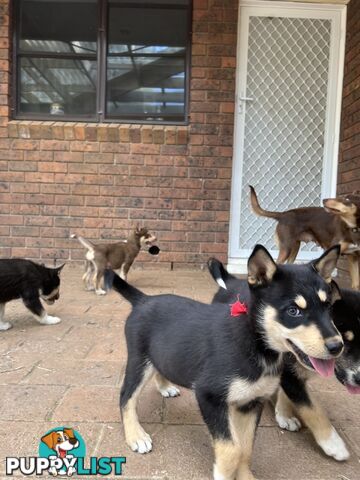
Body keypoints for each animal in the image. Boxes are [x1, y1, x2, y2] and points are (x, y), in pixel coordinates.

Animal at [107, 246, 344, 478]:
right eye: (294, 311)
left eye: (328, 307)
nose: (337, 346)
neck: (255, 343)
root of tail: (143, 300)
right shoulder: (209, 395)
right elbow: (232, 450)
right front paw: (224, 473)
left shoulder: (251, 402)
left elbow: (246, 448)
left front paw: (246, 476)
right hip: (139, 360)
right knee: (126, 396)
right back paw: (136, 436)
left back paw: (165, 387)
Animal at [210, 256, 360, 464]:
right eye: (347, 341)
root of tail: (231, 281)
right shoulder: (289, 373)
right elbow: (312, 408)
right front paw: (333, 443)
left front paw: (284, 414)